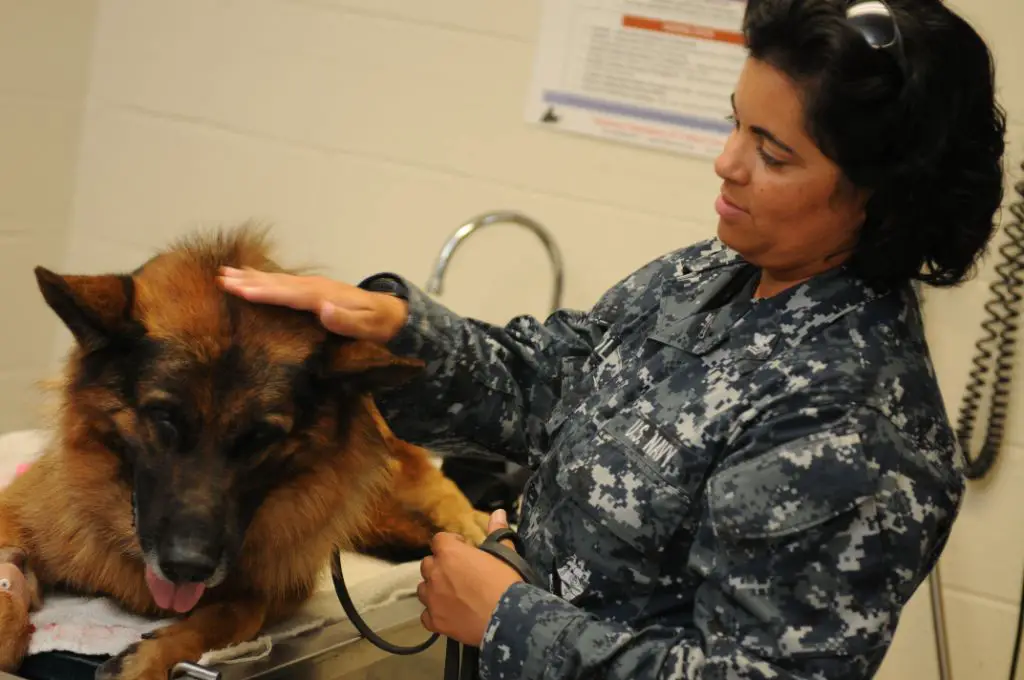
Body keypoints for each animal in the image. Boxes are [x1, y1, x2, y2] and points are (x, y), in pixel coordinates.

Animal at [0, 228, 489, 680]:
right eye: (163, 416)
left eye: (260, 436)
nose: (188, 568)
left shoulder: (279, 585)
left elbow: (233, 612)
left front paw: (152, 657)